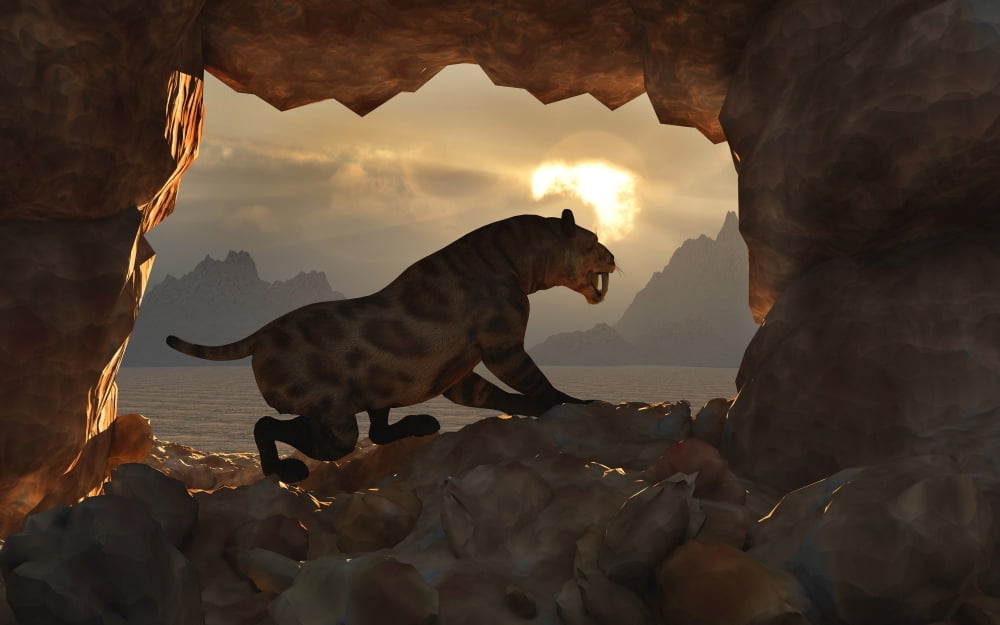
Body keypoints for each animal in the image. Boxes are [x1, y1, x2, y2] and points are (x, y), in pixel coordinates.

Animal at [166, 209, 615, 482]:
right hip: (334, 420)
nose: (613, 256)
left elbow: (500, 396)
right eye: (593, 240)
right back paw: (286, 470)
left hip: (372, 392)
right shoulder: (503, 349)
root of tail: (259, 334)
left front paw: (531, 411)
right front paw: (575, 405)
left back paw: (422, 424)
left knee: (378, 431)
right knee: (272, 425)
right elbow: (538, 383)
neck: (515, 260)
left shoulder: (459, 375)